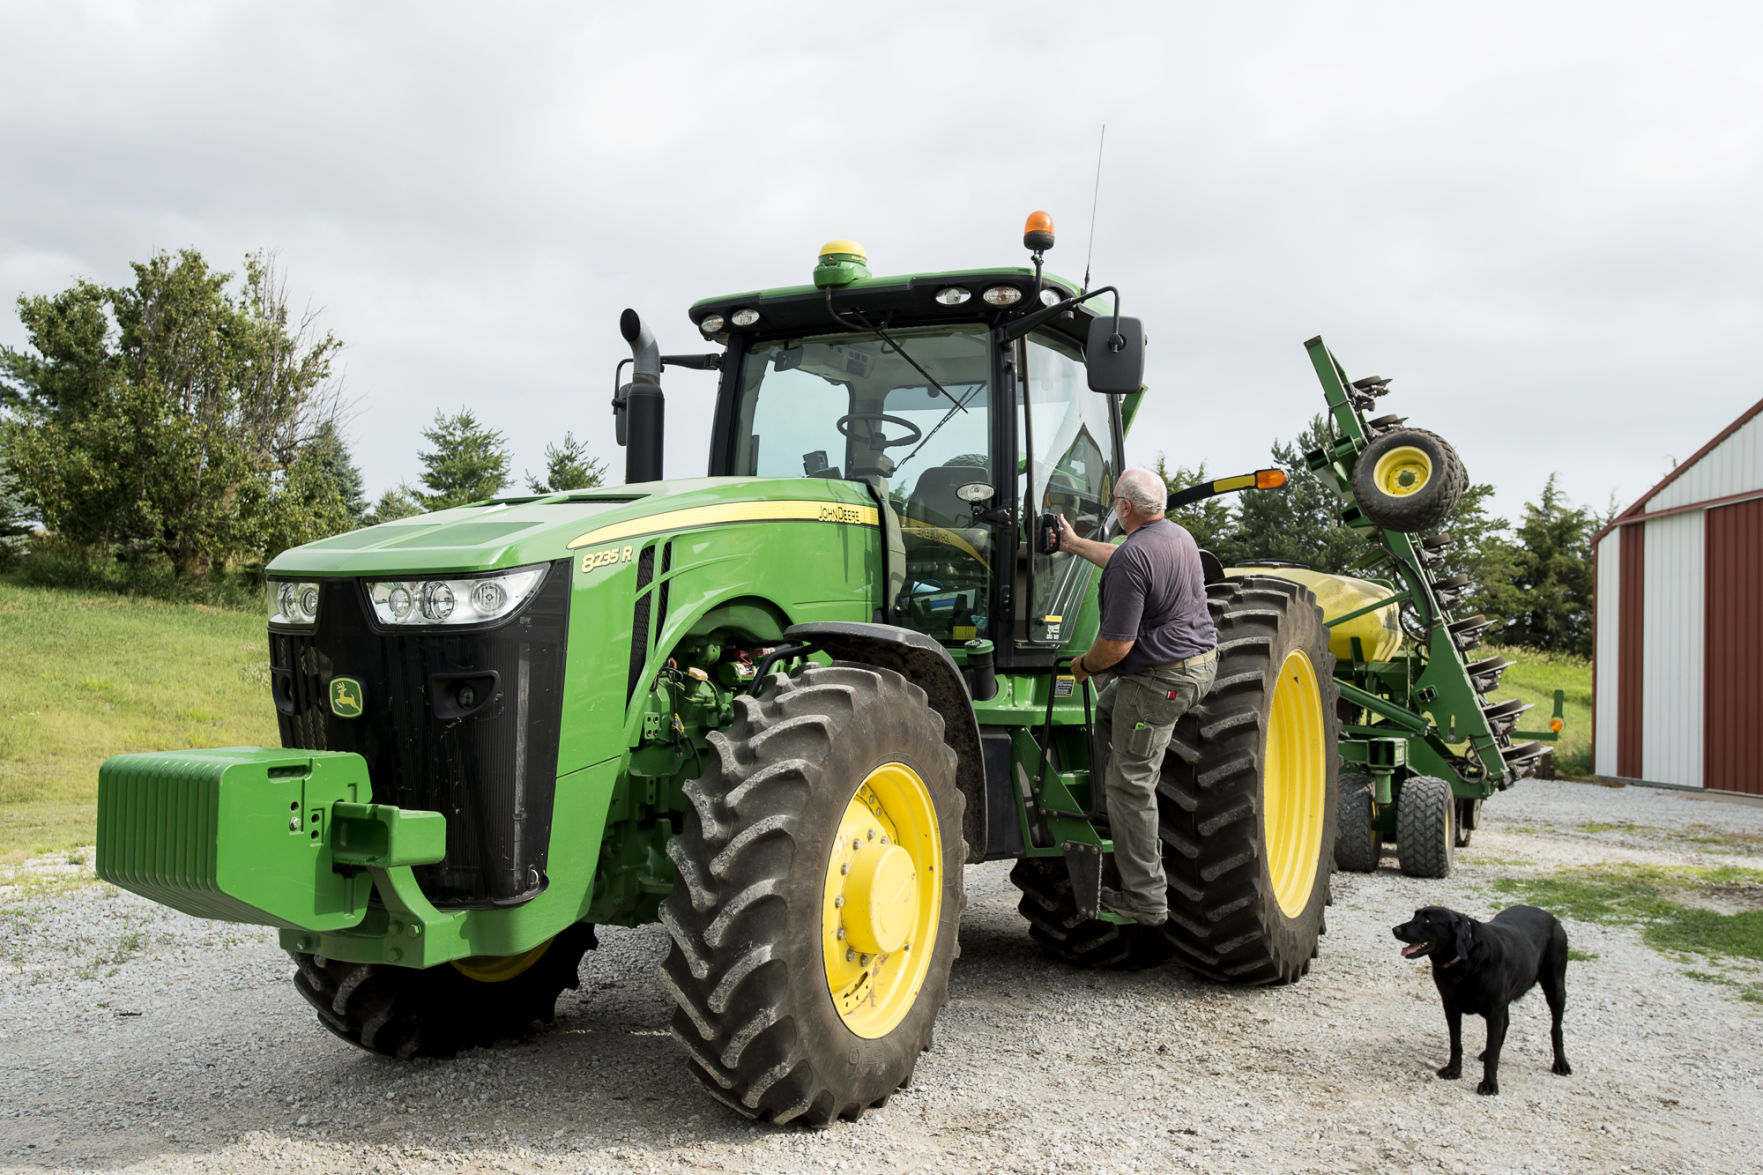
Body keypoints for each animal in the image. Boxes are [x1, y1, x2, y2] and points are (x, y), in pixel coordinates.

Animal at [1389, 899, 1572, 1093]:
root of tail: (1551, 916)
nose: (1395, 929)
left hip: (1555, 986)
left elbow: (1492, 1052)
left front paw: (1489, 1084)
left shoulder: (1494, 1011)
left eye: (1427, 921)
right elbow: (1456, 1043)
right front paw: (1453, 1070)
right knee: (1506, 1023)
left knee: (1556, 1028)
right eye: (1414, 915)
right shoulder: (1450, 1006)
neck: (1465, 961)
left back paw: (1561, 1064)